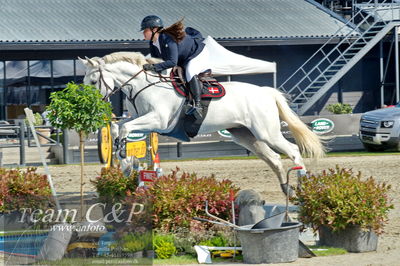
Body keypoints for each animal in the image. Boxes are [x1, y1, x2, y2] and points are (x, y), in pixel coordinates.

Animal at [80, 51, 324, 193]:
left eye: (93, 81)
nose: (91, 105)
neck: (141, 85)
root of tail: (266, 92)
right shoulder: (142, 119)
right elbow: (117, 128)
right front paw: (126, 163)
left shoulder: (158, 120)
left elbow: (124, 128)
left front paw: (125, 160)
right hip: (244, 135)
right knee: (274, 158)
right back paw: (286, 188)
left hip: (267, 132)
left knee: (293, 150)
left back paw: (302, 186)